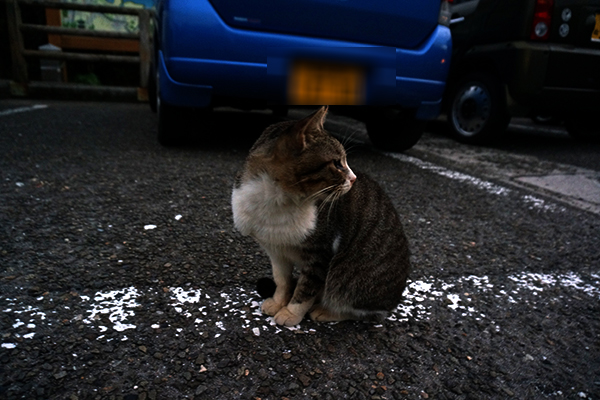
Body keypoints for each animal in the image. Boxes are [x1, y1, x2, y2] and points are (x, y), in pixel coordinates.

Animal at [232, 105, 410, 324]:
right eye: (337, 163)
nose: (353, 179)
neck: (276, 201)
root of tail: (394, 301)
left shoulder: (320, 253)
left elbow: (305, 289)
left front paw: (291, 313)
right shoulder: (275, 249)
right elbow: (282, 280)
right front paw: (279, 301)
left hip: (350, 277)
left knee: (361, 308)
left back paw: (326, 311)